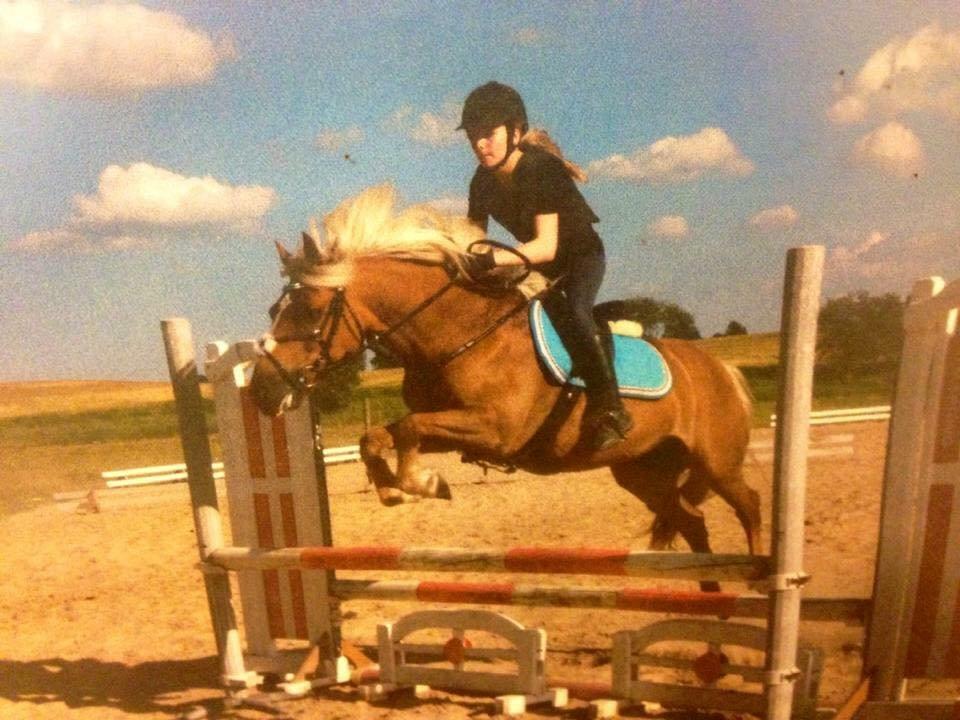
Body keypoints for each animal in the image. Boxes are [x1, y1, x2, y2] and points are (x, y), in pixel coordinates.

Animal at [251, 186, 760, 580]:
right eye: (274, 310)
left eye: (312, 309)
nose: (262, 392)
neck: (460, 332)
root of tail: (722, 370)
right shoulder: (456, 427)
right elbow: (377, 436)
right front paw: (395, 488)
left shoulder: (495, 430)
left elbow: (410, 429)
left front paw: (424, 482)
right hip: (640, 471)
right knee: (692, 521)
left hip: (716, 462)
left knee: (749, 505)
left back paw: (756, 581)